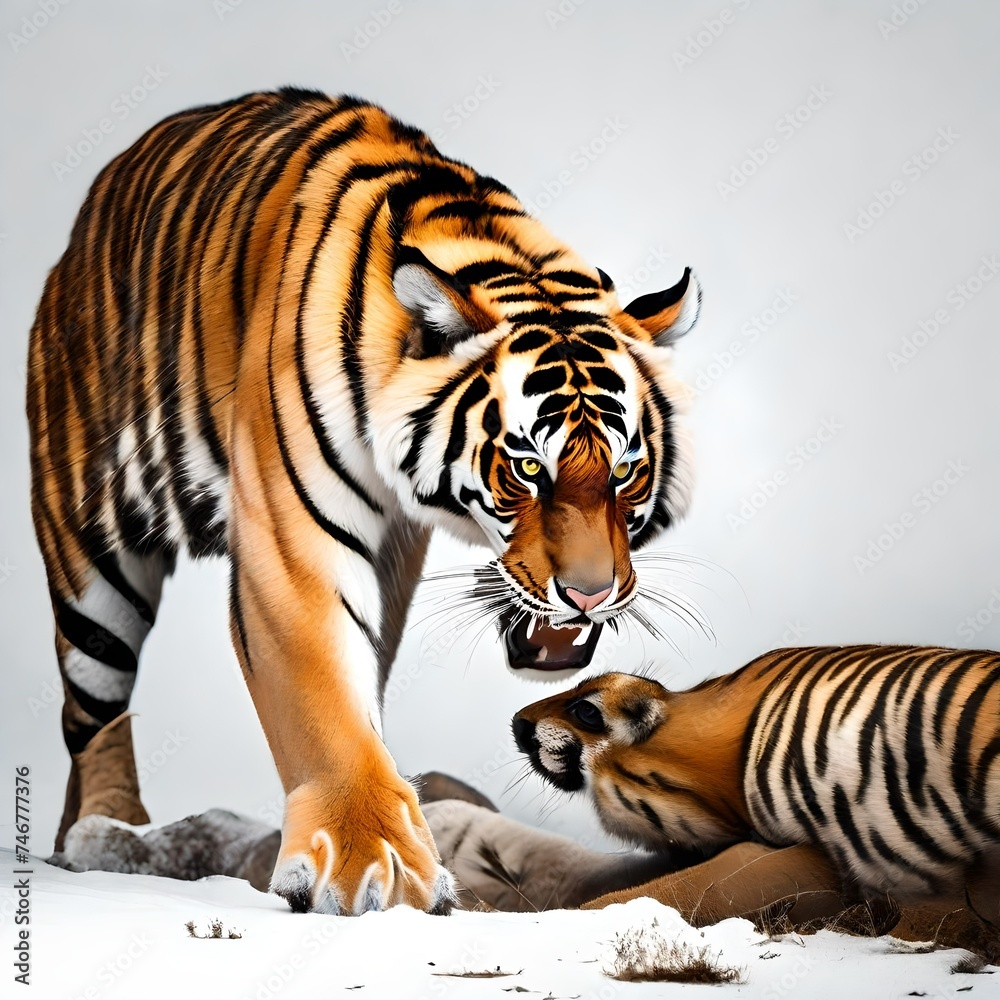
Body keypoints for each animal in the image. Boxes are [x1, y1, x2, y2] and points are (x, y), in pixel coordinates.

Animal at [26, 88, 701, 916]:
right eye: (525, 468)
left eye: (626, 471)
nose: (591, 594)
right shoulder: (294, 541)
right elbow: (323, 695)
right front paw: (373, 865)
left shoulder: (394, 547)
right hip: (94, 571)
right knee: (92, 716)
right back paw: (107, 833)